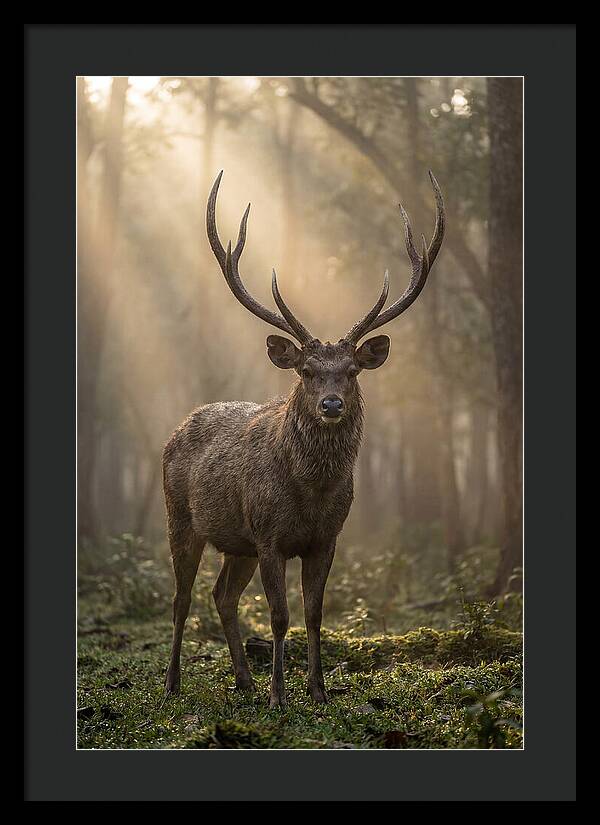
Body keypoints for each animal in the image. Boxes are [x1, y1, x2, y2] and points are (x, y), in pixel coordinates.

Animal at [163, 170, 445, 707]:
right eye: (308, 371)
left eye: (352, 371)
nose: (331, 404)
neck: (310, 494)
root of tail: (177, 427)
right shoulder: (270, 535)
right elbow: (279, 616)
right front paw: (280, 696)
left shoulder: (326, 538)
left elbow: (314, 613)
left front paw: (317, 690)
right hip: (181, 518)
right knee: (182, 597)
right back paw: (172, 684)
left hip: (238, 543)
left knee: (222, 595)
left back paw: (244, 680)